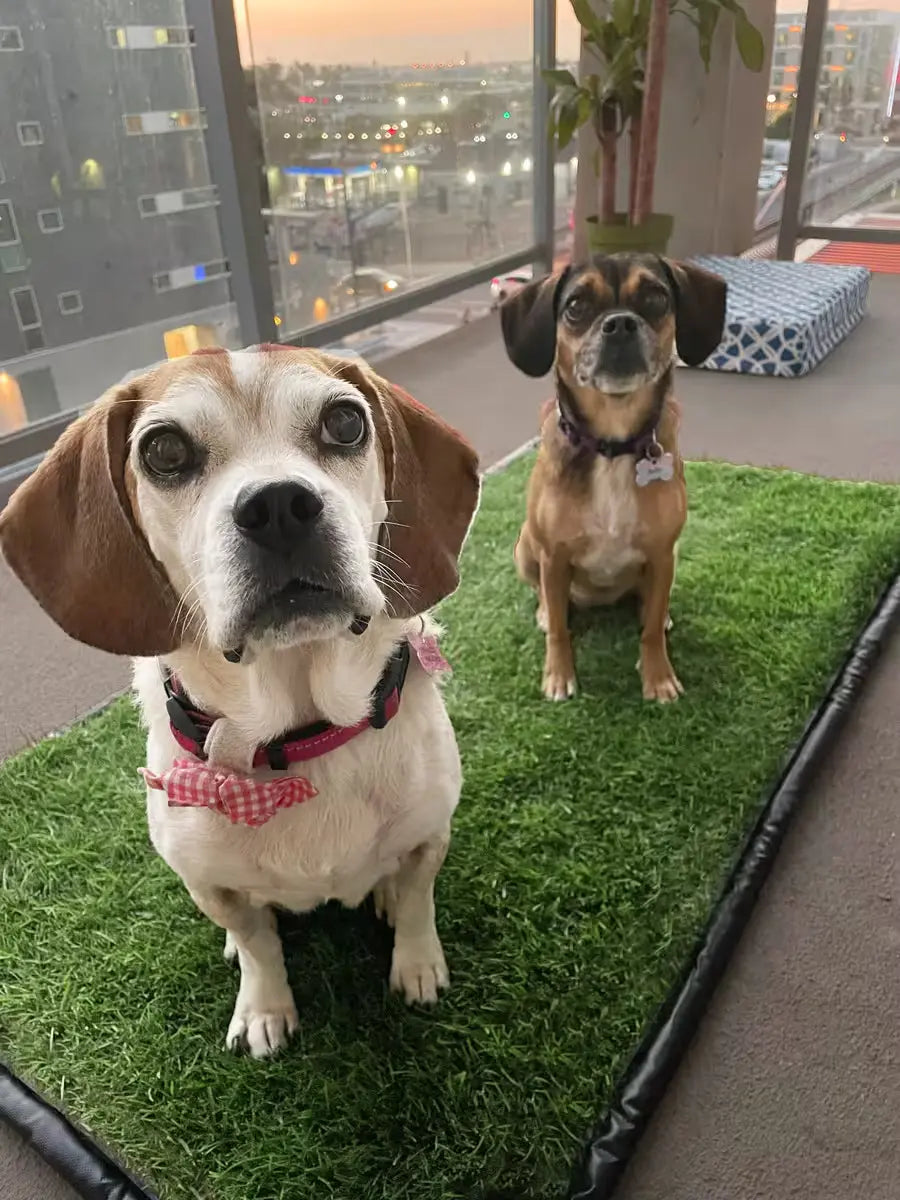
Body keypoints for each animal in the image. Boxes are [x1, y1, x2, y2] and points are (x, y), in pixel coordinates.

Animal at [0, 348, 482, 1060]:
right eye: (164, 450)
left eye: (345, 422)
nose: (279, 504)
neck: (302, 735)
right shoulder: (210, 885)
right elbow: (259, 946)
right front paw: (263, 1007)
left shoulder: (430, 836)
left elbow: (420, 901)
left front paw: (418, 965)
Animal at [504, 253, 729, 700]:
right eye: (576, 306)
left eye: (656, 298)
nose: (621, 323)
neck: (612, 445)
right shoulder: (553, 557)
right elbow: (560, 630)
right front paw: (558, 675)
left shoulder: (662, 553)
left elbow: (650, 633)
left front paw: (658, 677)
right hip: (525, 548)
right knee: (547, 598)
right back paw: (545, 611)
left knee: (651, 606)